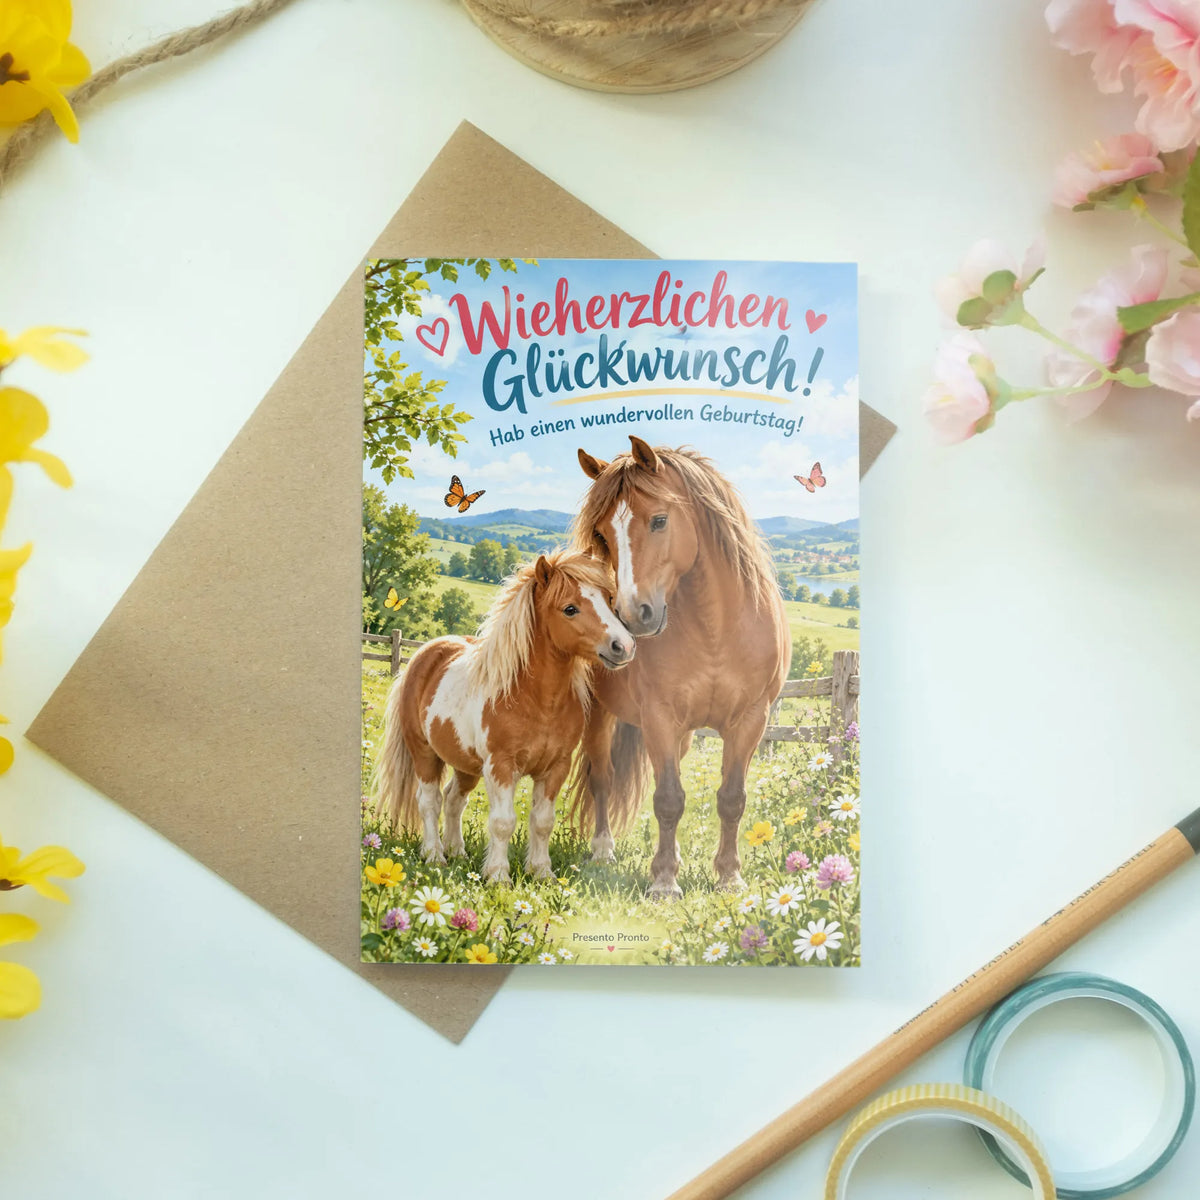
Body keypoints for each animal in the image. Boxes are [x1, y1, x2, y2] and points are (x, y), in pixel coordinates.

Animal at [374, 551, 635, 883]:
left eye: (609, 599)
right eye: (570, 609)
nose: (624, 646)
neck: (535, 700)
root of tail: (423, 656)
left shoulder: (555, 768)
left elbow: (543, 821)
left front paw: (542, 872)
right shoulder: (501, 766)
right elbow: (502, 822)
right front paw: (498, 876)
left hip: (465, 764)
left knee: (454, 800)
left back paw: (457, 852)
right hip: (424, 753)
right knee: (429, 801)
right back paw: (435, 856)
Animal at [568, 437, 791, 898]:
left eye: (659, 520)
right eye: (601, 534)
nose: (631, 617)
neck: (716, 631)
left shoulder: (751, 720)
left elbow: (732, 798)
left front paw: (729, 876)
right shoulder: (659, 718)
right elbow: (668, 798)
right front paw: (664, 882)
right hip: (599, 714)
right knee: (601, 778)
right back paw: (603, 850)